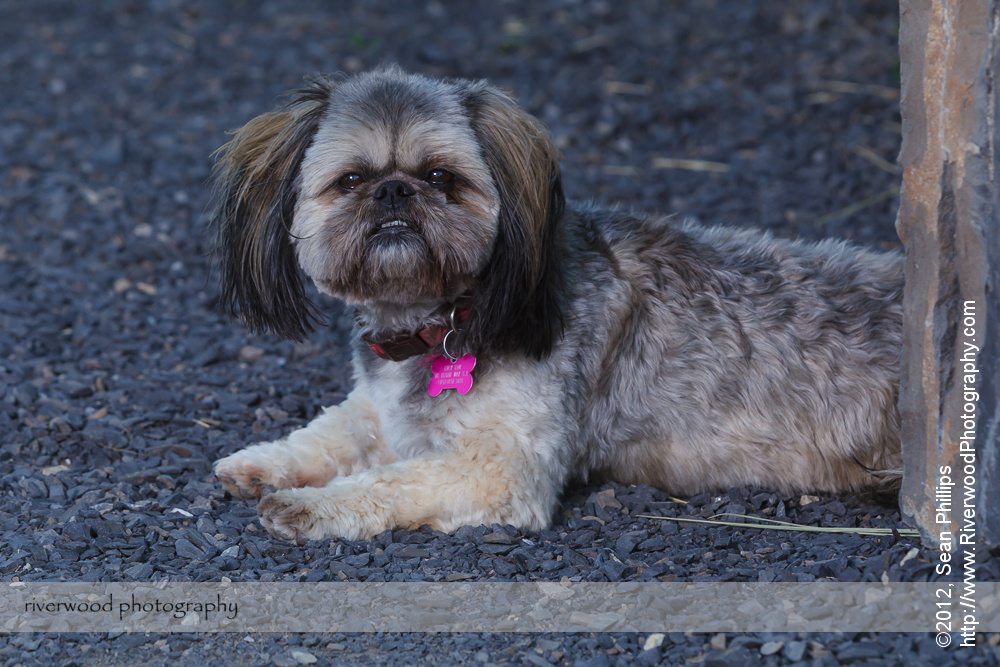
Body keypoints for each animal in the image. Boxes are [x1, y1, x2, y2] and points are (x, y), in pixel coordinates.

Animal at [207, 65, 904, 544]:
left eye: (440, 177)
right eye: (350, 180)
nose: (394, 193)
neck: (443, 319)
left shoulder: (503, 468)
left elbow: (393, 479)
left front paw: (311, 506)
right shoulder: (380, 406)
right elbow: (330, 429)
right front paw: (265, 462)